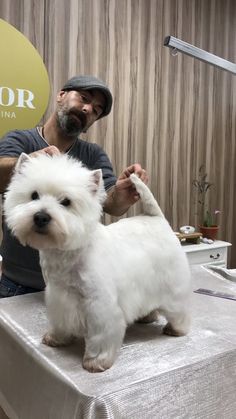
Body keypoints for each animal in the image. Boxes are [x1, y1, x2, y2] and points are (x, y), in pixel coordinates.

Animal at [4, 154, 192, 374]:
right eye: (34, 195)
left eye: (66, 202)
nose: (41, 217)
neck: (70, 252)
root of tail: (157, 219)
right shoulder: (58, 295)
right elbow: (60, 321)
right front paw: (56, 338)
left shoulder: (99, 305)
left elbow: (101, 335)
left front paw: (96, 361)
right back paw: (148, 316)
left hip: (172, 284)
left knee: (180, 309)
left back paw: (176, 328)